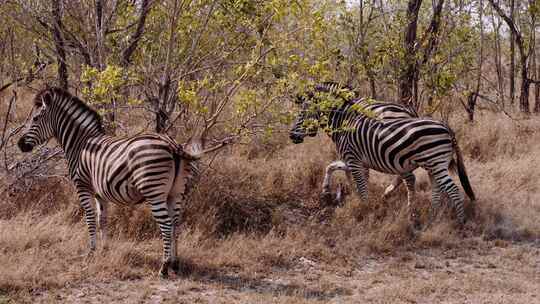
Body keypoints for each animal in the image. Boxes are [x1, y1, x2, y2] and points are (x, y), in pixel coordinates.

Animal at [19, 86, 201, 278]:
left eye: (35, 118)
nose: (20, 145)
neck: (80, 143)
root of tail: (172, 144)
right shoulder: (100, 193)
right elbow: (102, 220)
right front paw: (104, 250)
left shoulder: (82, 186)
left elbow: (90, 219)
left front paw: (91, 252)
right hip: (176, 192)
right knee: (175, 224)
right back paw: (175, 263)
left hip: (154, 191)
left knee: (166, 225)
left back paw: (164, 267)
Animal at [288, 82, 474, 224]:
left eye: (303, 113)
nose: (291, 136)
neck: (345, 122)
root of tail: (446, 128)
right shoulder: (356, 161)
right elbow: (334, 168)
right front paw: (329, 191)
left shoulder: (353, 159)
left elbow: (361, 186)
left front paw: (364, 211)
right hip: (433, 165)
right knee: (435, 188)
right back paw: (432, 217)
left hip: (434, 162)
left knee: (451, 188)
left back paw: (460, 221)